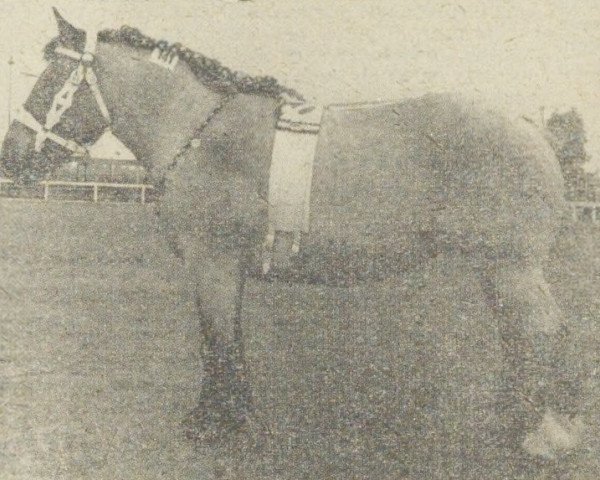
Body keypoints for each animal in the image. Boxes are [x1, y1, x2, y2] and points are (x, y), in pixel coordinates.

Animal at [0, 9, 580, 474]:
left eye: (52, 79)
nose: (11, 157)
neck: (199, 132)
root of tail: (530, 128)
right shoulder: (226, 268)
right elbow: (229, 338)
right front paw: (236, 416)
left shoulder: (211, 263)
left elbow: (217, 340)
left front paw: (211, 424)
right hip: (494, 268)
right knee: (517, 333)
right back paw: (510, 419)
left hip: (512, 266)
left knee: (539, 330)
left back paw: (536, 433)